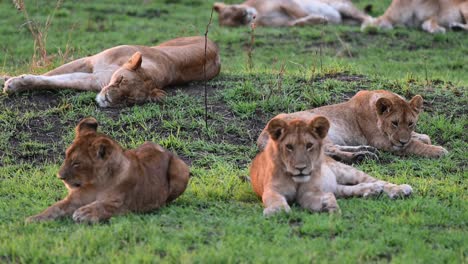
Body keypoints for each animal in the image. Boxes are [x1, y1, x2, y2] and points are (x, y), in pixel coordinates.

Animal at [3, 36, 220, 107]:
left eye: (128, 99)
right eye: (121, 80)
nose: (108, 99)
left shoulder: (94, 80)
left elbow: (54, 80)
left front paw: (14, 83)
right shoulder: (90, 60)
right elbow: (53, 73)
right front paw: (8, 78)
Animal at [25, 117, 189, 223]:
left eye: (76, 163)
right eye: (66, 156)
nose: (60, 176)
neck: (97, 183)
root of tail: (166, 150)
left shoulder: (123, 205)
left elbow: (103, 206)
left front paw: (85, 212)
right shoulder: (74, 199)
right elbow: (55, 208)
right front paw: (34, 218)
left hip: (181, 169)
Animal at [250, 114, 412, 216]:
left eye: (309, 145)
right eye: (289, 147)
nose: (301, 168)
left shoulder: (310, 192)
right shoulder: (272, 189)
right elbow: (274, 199)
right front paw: (277, 210)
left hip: (344, 171)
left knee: (376, 180)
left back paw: (399, 189)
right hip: (337, 186)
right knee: (352, 187)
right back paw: (372, 190)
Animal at [258, 91, 448, 165]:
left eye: (410, 123)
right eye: (394, 123)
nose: (402, 141)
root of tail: (261, 136)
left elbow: (421, 137)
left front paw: (422, 138)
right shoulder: (382, 141)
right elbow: (413, 146)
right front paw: (438, 150)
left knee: (332, 149)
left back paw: (365, 151)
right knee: (331, 150)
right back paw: (362, 156)